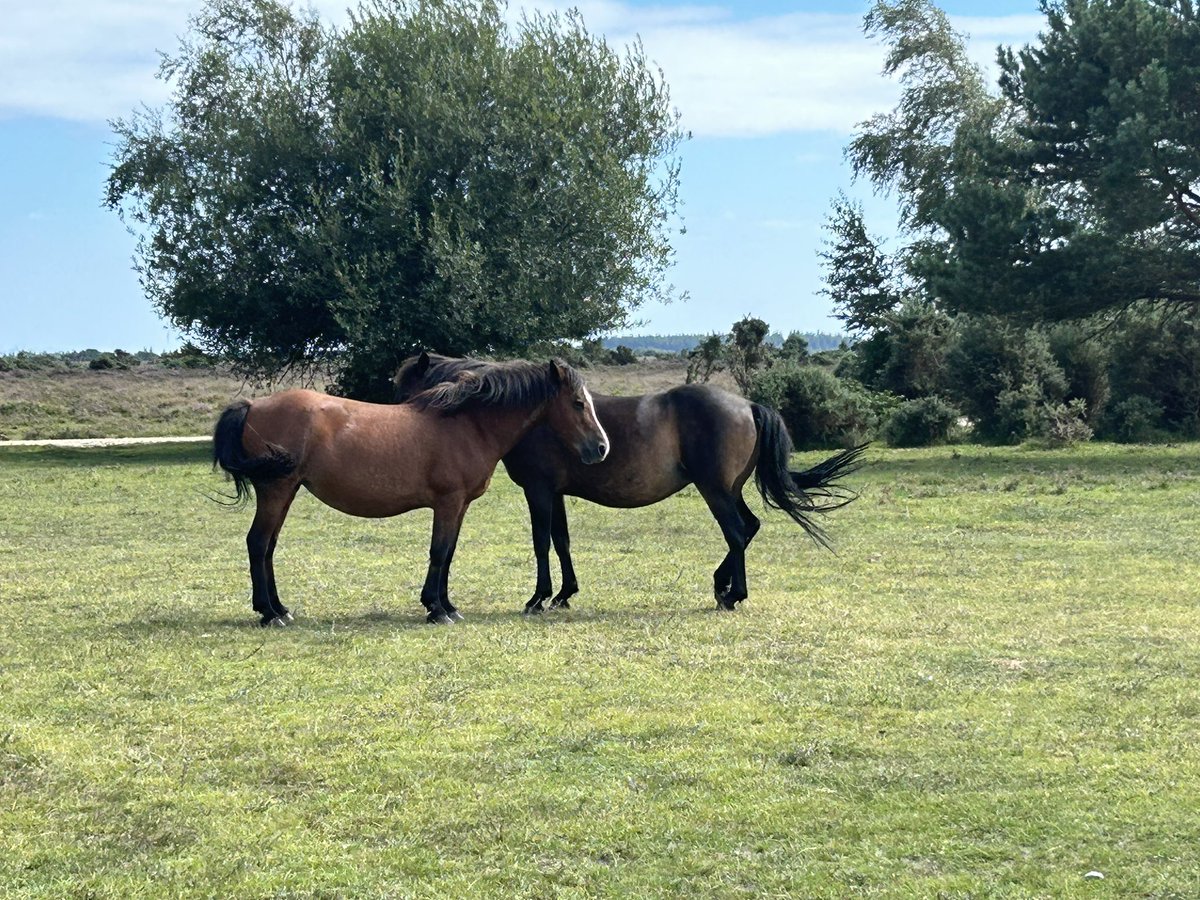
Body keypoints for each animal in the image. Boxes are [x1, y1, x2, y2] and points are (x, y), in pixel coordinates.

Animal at [212, 358, 609, 626]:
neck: (468, 424)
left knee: (268, 547)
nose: (601, 448)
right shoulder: (448, 503)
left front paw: (446, 606)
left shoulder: (459, 506)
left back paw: (280, 609)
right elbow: (439, 552)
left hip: (286, 491)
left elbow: (448, 554)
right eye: (578, 403)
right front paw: (436, 609)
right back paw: (269, 613)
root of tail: (252, 406)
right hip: (276, 490)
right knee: (258, 543)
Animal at [393, 352, 865, 614]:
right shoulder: (557, 493)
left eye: (405, 390)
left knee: (735, 532)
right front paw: (564, 594)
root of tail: (748, 404)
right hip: (730, 491)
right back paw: (722, 585)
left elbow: (541, 542)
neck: (536, 416)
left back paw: (734, 595)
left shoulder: (539, 491)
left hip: (715, 491)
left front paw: (538, 598)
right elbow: (562, 542)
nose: (405, 426)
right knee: (748, 528)